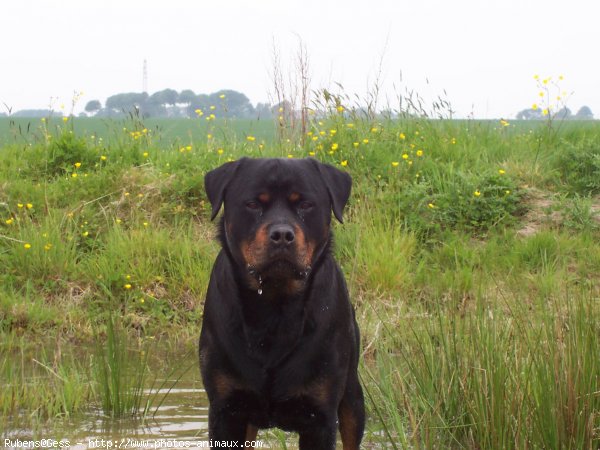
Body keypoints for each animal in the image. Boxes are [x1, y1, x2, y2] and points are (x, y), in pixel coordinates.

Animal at [199, 156, 364, 448]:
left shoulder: (320, 416)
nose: (283, 234)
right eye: (253, 204)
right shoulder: (225, 410)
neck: (274, 306)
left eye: (305, 204)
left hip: (352, 398)